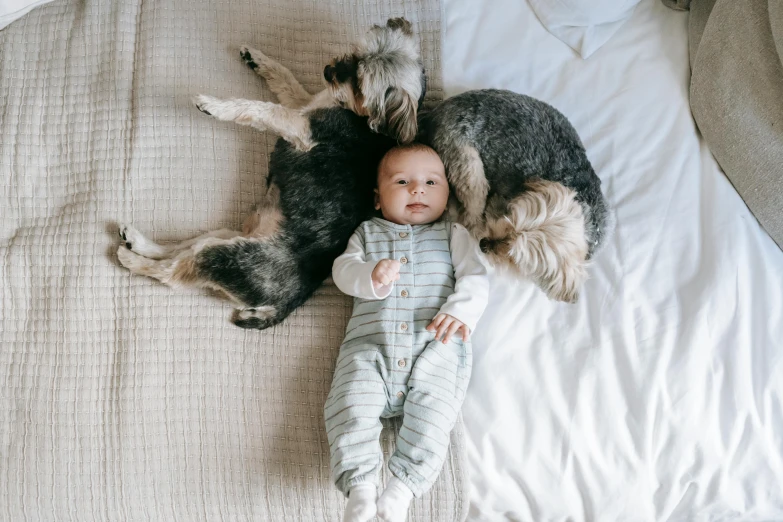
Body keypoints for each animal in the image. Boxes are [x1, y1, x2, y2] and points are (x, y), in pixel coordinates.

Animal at [118, 18, 428, 328]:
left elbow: (262, 109)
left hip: (227, 258)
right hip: (223, 237)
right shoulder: (303, 103)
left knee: (171, 273)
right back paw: (138, 242)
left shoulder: (300, 126)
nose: (328, 71)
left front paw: (216, 106)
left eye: (361, 85)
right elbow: (286, 78)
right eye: (355, 53)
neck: (363, 117)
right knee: (179, 249)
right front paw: (256, 58)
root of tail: (281, 306)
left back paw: (132, 260)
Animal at [420, 89, 608, 300]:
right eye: (509, 218)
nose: (483, 244)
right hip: (469, 168)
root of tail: (436, 113)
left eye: (514, 258)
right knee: (471, 215)